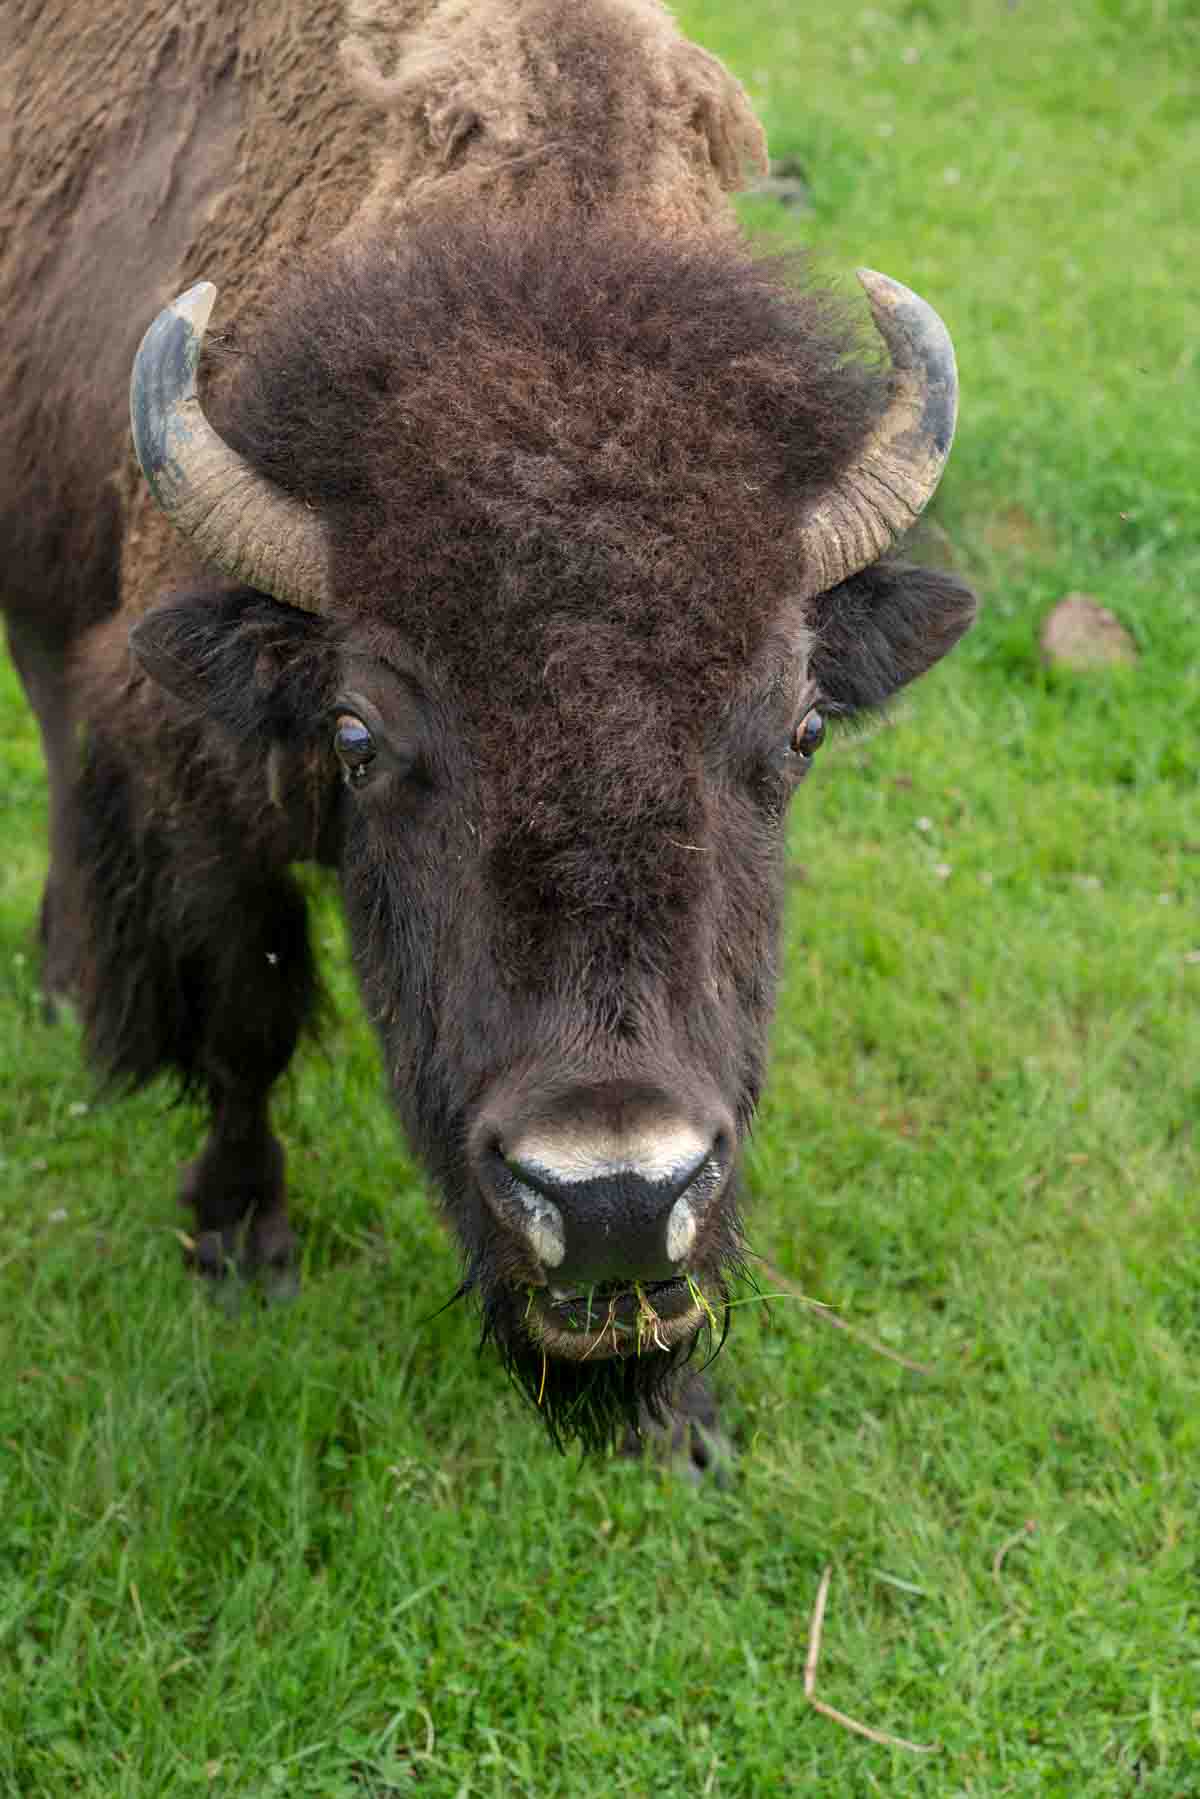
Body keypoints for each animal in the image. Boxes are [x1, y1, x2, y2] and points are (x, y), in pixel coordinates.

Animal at [1, 0, 975, 1455]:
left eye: (802, 730)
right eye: (359, 736)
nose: (615, 1195)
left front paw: (676, 1417)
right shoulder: (209, 786)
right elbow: (247, 1018)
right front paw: (240, 1241)